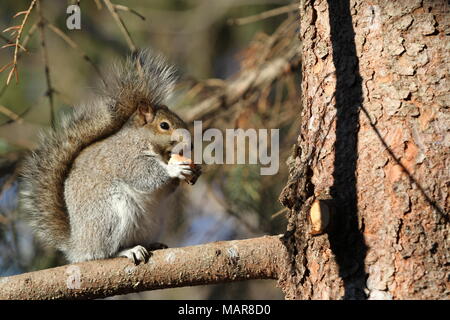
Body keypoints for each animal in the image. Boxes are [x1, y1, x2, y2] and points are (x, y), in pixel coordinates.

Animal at [19, 50, 200, 264]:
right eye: (164, 125)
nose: (191, 144)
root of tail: (78, 246)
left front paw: (193, 172)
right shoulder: (124, 156)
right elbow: (143, 175)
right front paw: (174, 169)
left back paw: (151, 244)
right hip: (111, 214)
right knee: (105, 252)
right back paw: (127, 250)